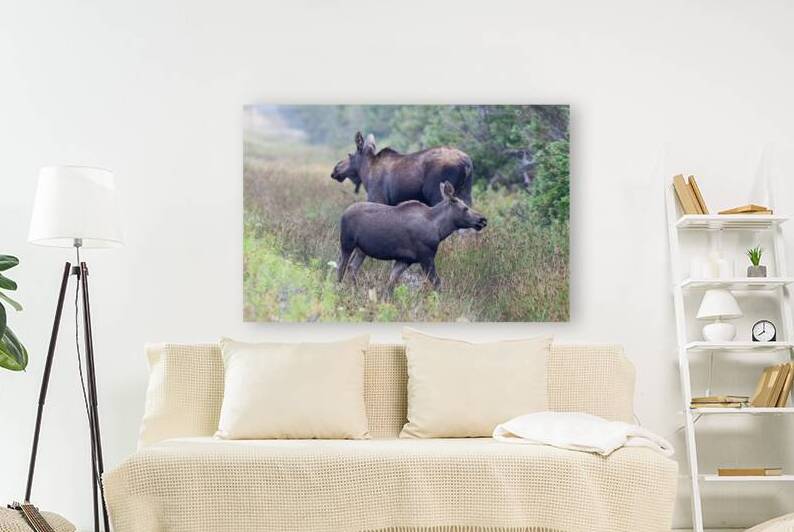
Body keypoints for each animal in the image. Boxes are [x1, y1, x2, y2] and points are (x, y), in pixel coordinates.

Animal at [337, 182, 487, 294]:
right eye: (465, 208)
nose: (482, 220)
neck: (439, 229)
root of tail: (343, 213)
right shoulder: (426, 257)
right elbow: (437, 283)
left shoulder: (405, 260)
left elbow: (391, 283)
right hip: (347, 243)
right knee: (341, 266)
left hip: (361, 250)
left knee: (352, 267)